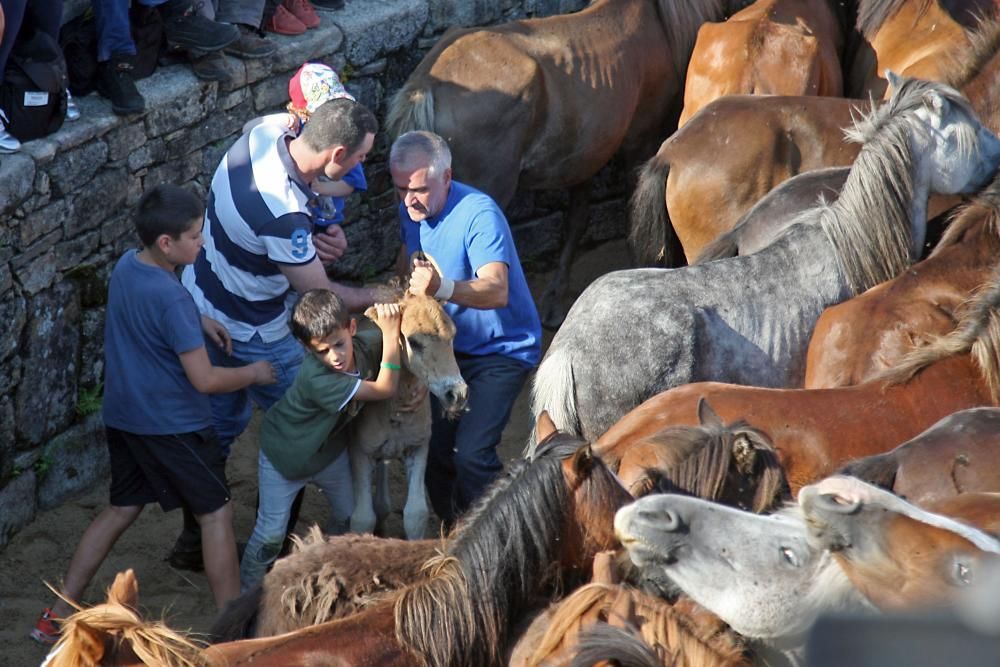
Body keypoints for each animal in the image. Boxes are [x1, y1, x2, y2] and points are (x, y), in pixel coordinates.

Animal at [386, 0, 748, 328]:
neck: (657, 22)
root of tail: (427, 86)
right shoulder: (639, 142)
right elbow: (631, 219)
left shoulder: (582, 160)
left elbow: (576, 221)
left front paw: (555, 298)